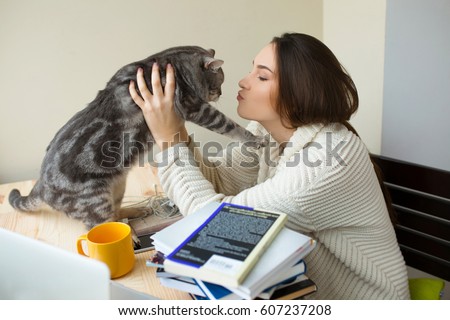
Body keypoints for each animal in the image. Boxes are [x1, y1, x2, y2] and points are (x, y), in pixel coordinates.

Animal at [7, 45, 264, 230]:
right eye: (219, 82)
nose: (219, 94)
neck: (173, 63)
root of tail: (40, 185)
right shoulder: (196, 107)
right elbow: (229, 125)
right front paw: (254, 139)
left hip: (118, 186)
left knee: (115, 211)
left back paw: (135, 211)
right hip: (95, 200)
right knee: (99, 225)